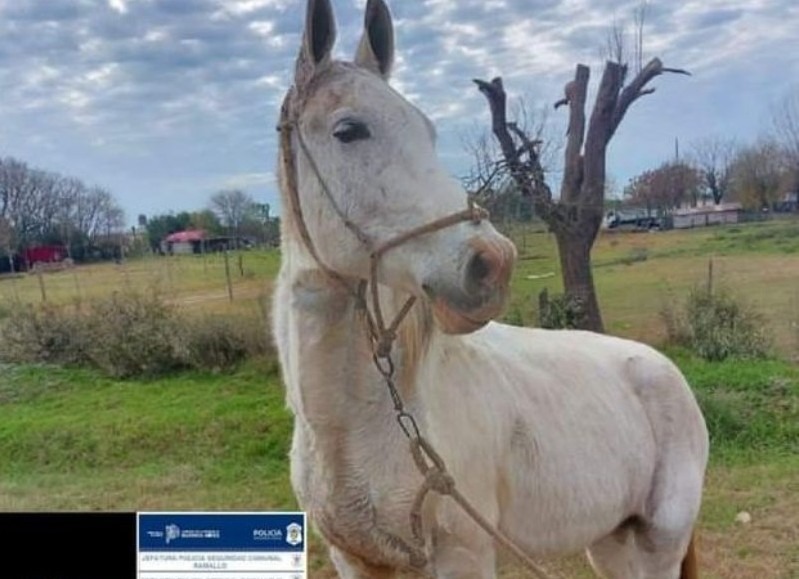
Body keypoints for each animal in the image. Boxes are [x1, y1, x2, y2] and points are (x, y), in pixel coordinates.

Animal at [272, 2, 708, 576]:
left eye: (428, 131)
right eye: (349, 130)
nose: (493, 264)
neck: (354, 427)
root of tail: (668, 373)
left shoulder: (465, 556)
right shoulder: (354, 559)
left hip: (657, 545)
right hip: (610, 543)